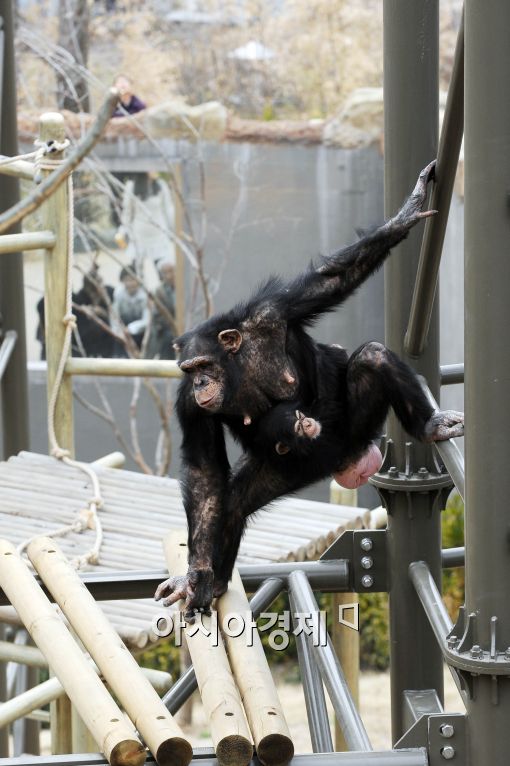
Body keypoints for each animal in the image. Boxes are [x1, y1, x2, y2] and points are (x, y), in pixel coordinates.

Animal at [154, 159, 462, 620]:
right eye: (191, 370)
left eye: (205, 365)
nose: (201, 382)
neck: (237, 367)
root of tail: (347, 462)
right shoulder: (188, 404)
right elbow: (205, 474)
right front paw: (197, 573)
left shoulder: (272, 312)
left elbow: (331, 281)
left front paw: (407, 213)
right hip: (289, 468)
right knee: (234, 500)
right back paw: (213, 582)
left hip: (357, 430)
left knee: (373, 356)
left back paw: (430, 426)